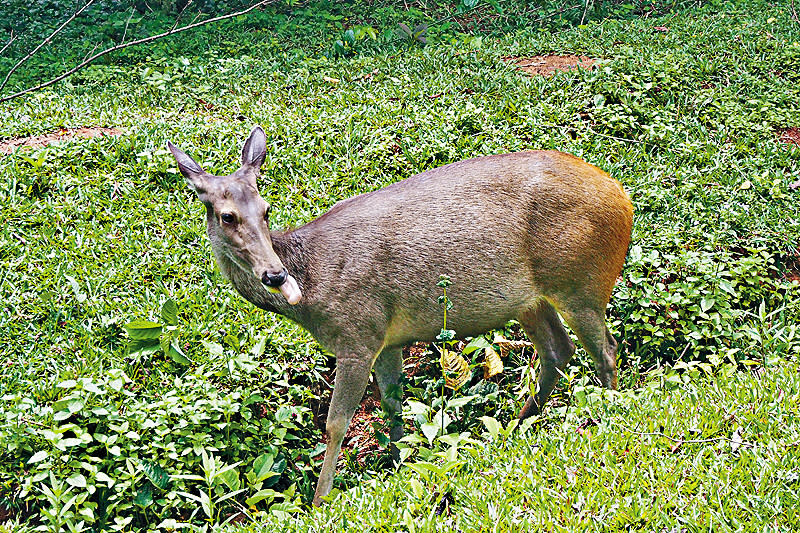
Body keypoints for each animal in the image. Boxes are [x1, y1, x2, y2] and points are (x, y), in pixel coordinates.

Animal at [166, 127, 636, 504]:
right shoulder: (387, 338)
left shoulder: (358, 334)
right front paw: (397, 464)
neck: (315, 287)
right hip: (530, 301)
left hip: (580, 280)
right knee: (559, 351)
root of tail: (623, 196)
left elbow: (336, 424)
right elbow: (392, 405)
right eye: (227, 215)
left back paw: (606, 414)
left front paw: (320, 500)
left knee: (607, 350)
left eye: (266, 209)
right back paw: (515, 429)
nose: (275, 274)